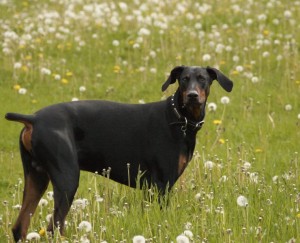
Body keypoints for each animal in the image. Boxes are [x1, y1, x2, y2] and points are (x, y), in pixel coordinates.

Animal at [5, 65, 233, 242]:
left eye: (202, 79)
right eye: (184, 79)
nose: (192, 96)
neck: (179, 119)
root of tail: (34, 119)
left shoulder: (151, 188)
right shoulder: (162, 185)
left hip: (36, 177)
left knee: (19, 227)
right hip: (67, 179)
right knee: (54, 228)